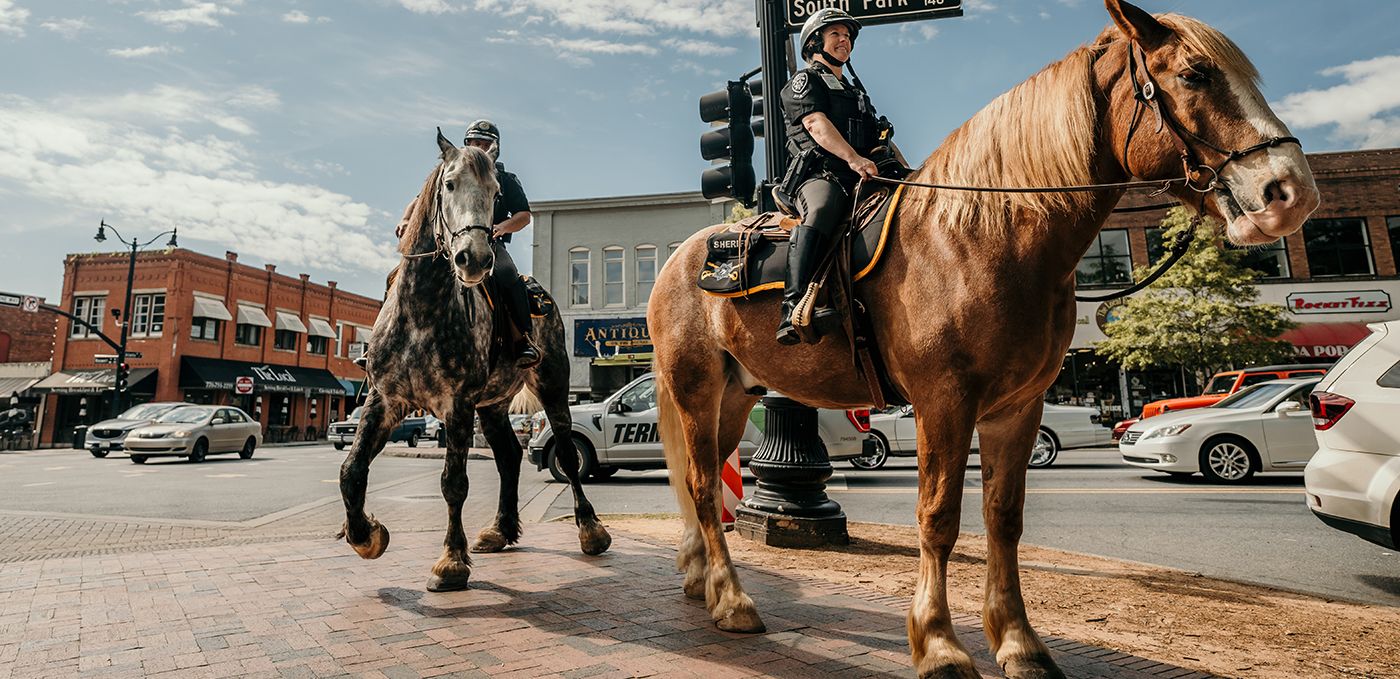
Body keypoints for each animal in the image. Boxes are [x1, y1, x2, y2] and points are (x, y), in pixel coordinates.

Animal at [649, 2, 1316, 674]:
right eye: (1195, 74)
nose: (1290, 192)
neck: (983, 239)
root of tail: (678, 259)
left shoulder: (1018, 406)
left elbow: (1003, 517)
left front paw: (1019, 641)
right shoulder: (944, 400)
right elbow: (939, 516)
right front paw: (939, 642)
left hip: (737, 395)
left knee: (704, 480)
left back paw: (704, 580)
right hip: (696, 387)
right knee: (703, 485)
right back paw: (732, 600)